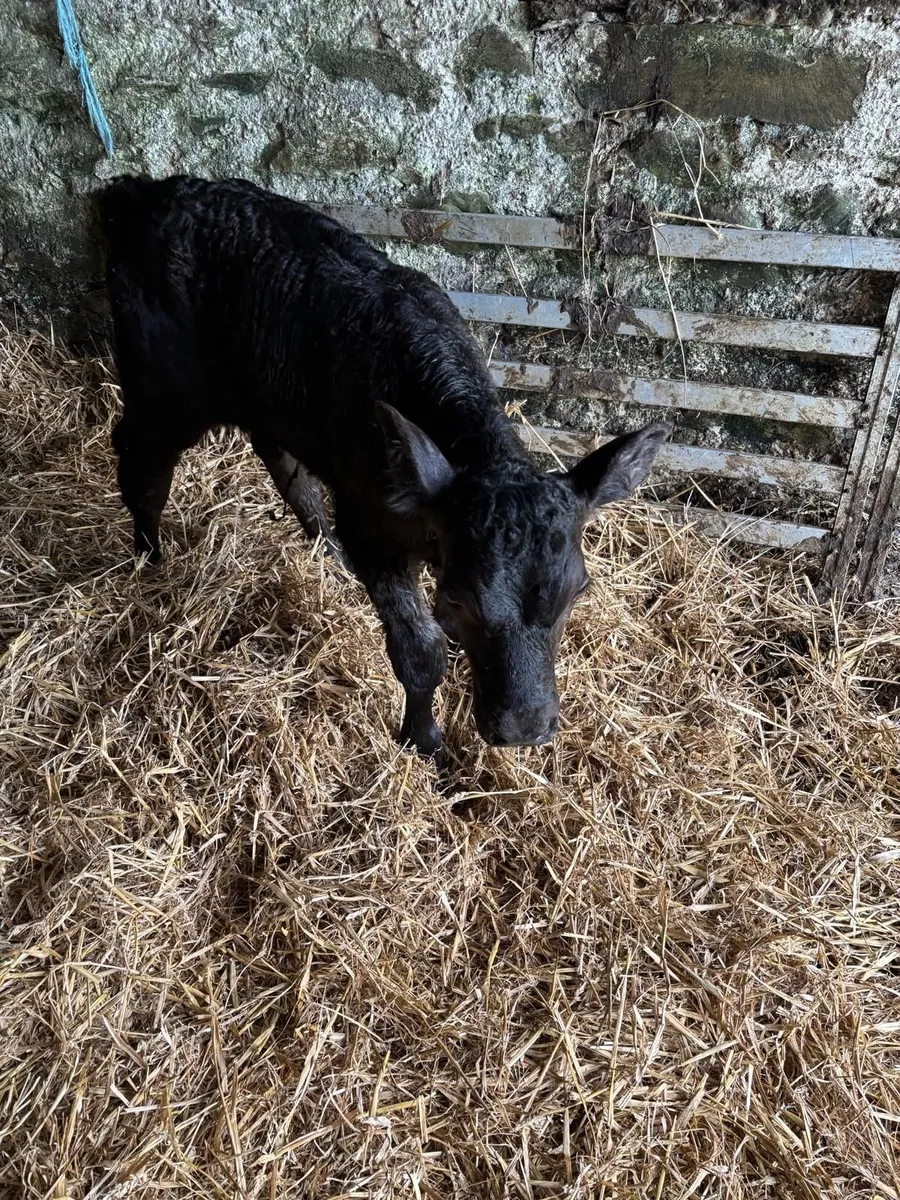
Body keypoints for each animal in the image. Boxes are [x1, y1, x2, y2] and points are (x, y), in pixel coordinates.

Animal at [98, 175, 670, 758]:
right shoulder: (372, 530)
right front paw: (425, 741)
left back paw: (326, 549)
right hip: (164, 384)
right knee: (142, 462)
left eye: (576, 592)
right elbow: (420, 653)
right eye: (460, 597)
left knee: (280, 459)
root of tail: (149, 192)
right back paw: (150, 559)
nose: (526, 729)